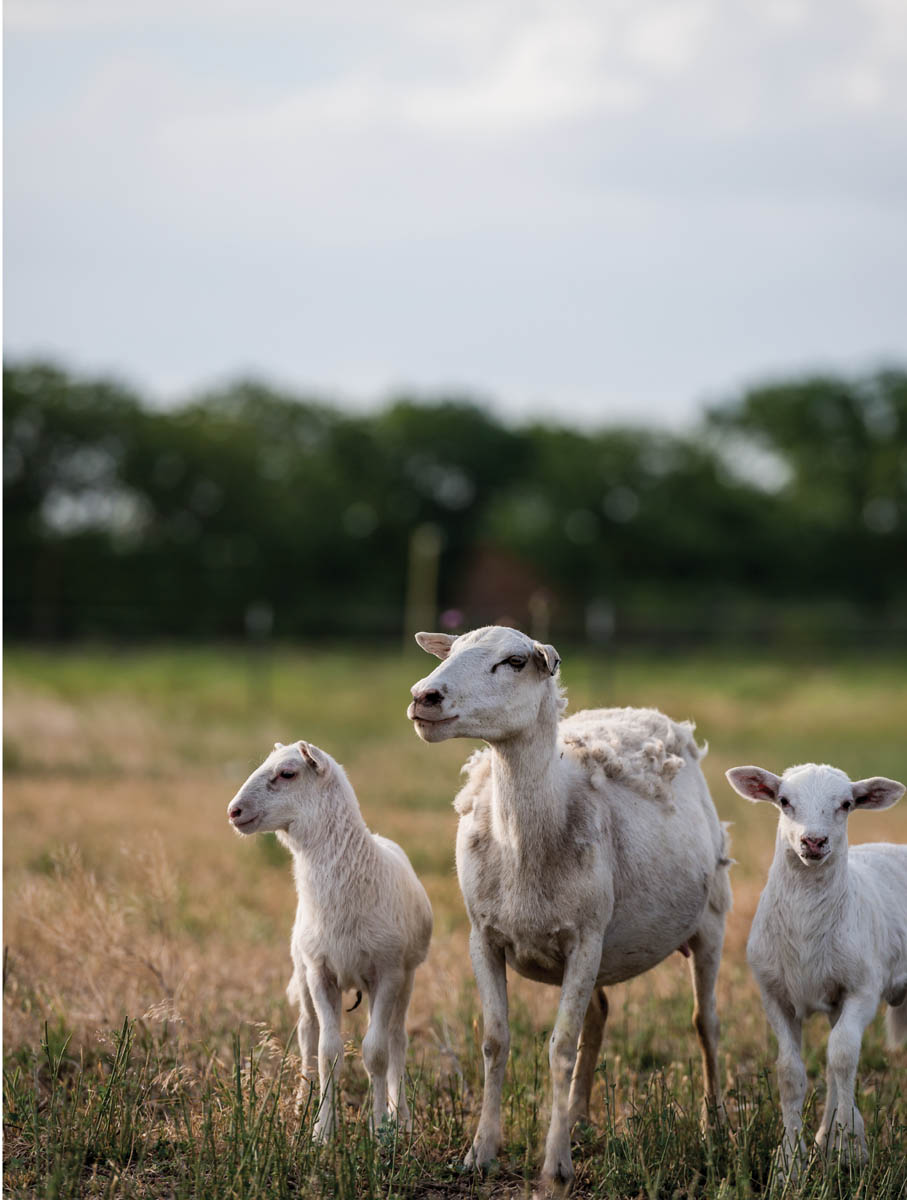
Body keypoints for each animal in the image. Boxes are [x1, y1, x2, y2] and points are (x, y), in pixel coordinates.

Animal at [230, 734, 436, 1137]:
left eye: (287, 773)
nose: (234, 811)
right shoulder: (319, 971)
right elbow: (329, 1052)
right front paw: (322, 1130)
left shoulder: (387, 972)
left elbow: (376, 1053)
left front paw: (378, 1129)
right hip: (303, 971)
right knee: (308, 1033)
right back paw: (301, 1101)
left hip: (405, 976)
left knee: (396, 1039)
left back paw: (400, 1115)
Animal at [407, 628, 734, 1190]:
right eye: (451, 651)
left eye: (515, 662)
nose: (424, 696)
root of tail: (642, 711)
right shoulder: (483, 935)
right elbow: (495, 1040)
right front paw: (481, 1152)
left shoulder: (585, 938)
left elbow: (560, 1046)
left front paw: (555, 1165)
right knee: (599, 1016)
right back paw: (579, 1118)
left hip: (708, 920)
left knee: (704, 1022)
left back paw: (712, 1127)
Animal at [724, 758, 906, 1161]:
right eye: (784, 801)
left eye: (847, 804)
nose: (814, 841)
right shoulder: (775, 996)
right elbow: (791, 1072)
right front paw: (792, 1158)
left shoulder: (862, 990)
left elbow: (842, 1056)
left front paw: (851, 1147)